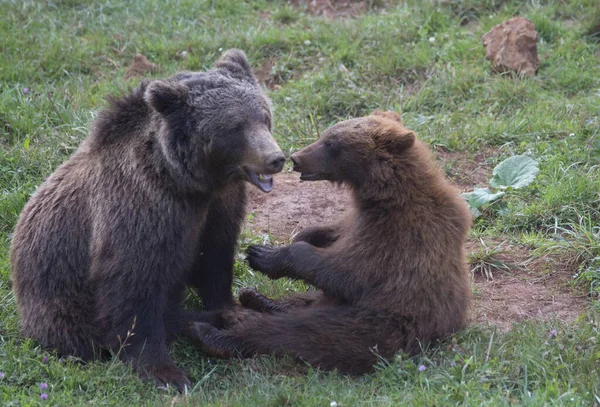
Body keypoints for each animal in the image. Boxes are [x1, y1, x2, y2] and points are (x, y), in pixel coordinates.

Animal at [9, 49, 284, 390]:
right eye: (236, 126)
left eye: (264, 117)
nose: (275, 158)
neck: (191, 183)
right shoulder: (142, 210)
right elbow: (134, 286)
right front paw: (165, 372)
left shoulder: (220, 208)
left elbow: (216, 257)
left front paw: (228, 309)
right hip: (60, 299)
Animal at [190, 110, 472, 374]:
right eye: (326, 134)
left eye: (333, 144)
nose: (296, 158)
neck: (383, 195)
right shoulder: (358, 219)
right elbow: (333, 231)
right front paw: (302, 235)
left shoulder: (398, 236)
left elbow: (348, 272)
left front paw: (263, 254)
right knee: (301, 303)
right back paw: (257, 299)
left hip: (381, 322)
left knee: (299, 332)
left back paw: (213, 334)